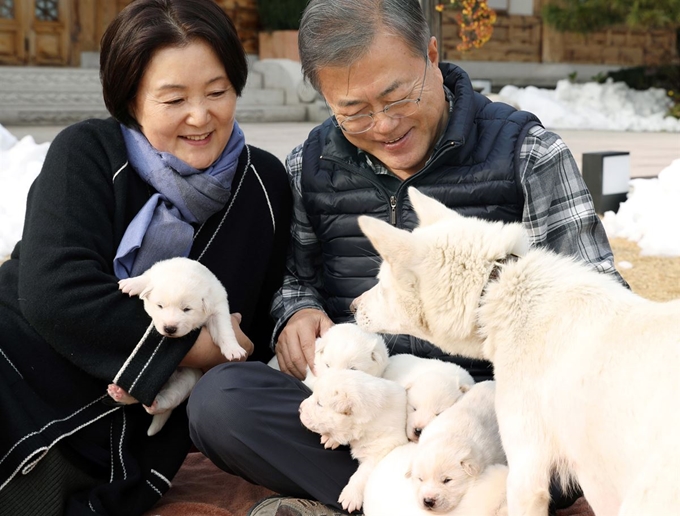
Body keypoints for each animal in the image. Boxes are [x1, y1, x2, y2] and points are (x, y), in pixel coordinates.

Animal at [106, 258, 244, 436]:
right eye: (160, 306)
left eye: (187, 309)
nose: (169, 329)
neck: (184, 273)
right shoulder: (156, 271)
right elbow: (146, 279)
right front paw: (132, 283)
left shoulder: (217, 307)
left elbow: (224, 328)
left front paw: (233, 349)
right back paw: (120, 393)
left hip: (187, 380)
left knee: (166, 399)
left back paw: (151, 403)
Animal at [298, 368, 406, 512]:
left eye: (319, 404)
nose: (300, 407)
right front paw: (331, 438)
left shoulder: (380, 450)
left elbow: (361, 475)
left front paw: (350, 496)